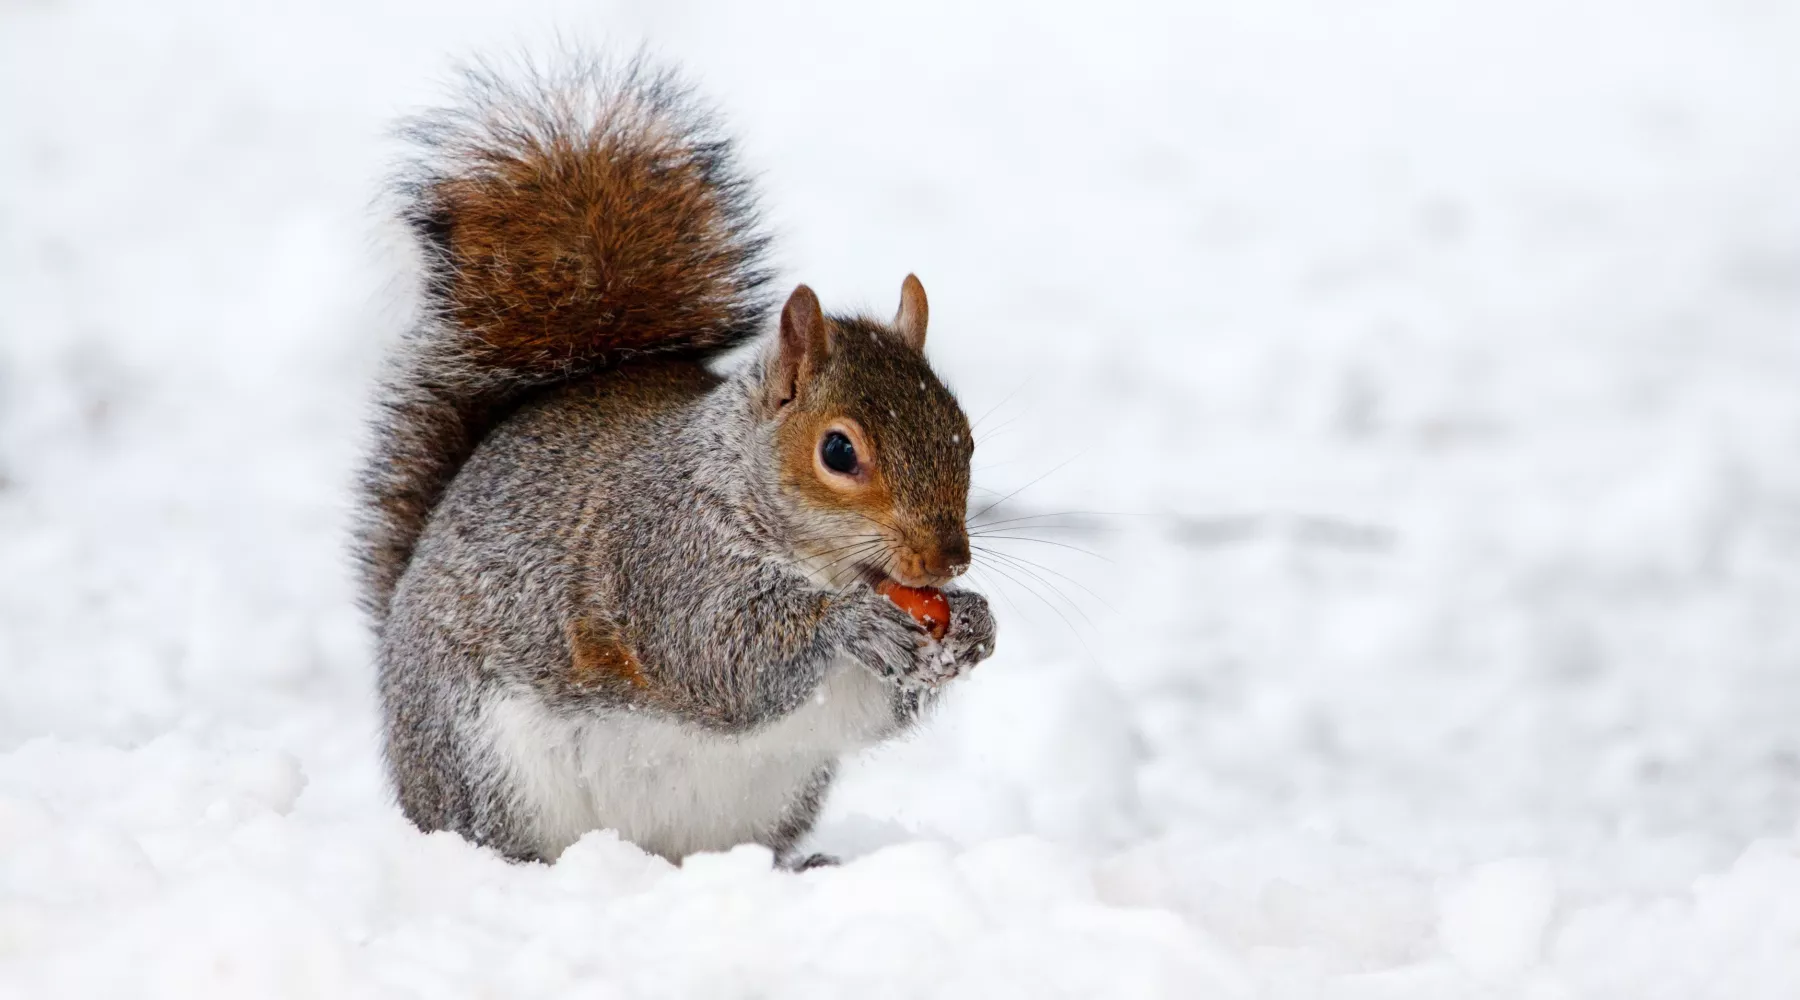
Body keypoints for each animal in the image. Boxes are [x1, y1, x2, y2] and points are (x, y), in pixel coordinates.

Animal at [351, 56, 1000, 866]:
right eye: (838, 451)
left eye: (965, 437)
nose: (948, 561)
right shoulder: (663, 556)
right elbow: (718, 655)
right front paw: (852, 624)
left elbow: (878, 707)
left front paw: (973, 625)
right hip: (483, 764)